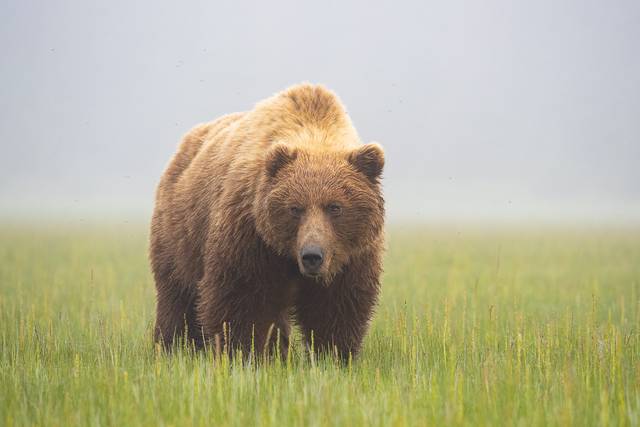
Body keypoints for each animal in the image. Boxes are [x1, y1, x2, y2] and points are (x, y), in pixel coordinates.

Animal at [149, 83, 384, 362]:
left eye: (335, 207)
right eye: (295, 208)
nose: (312, 255)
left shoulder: (351, 254)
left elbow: (337, 308)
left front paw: (334, 356)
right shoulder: (251, 237)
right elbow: (241, 299)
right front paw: (241, 355)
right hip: (179, 234)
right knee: (177, 297)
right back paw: (171, 348)